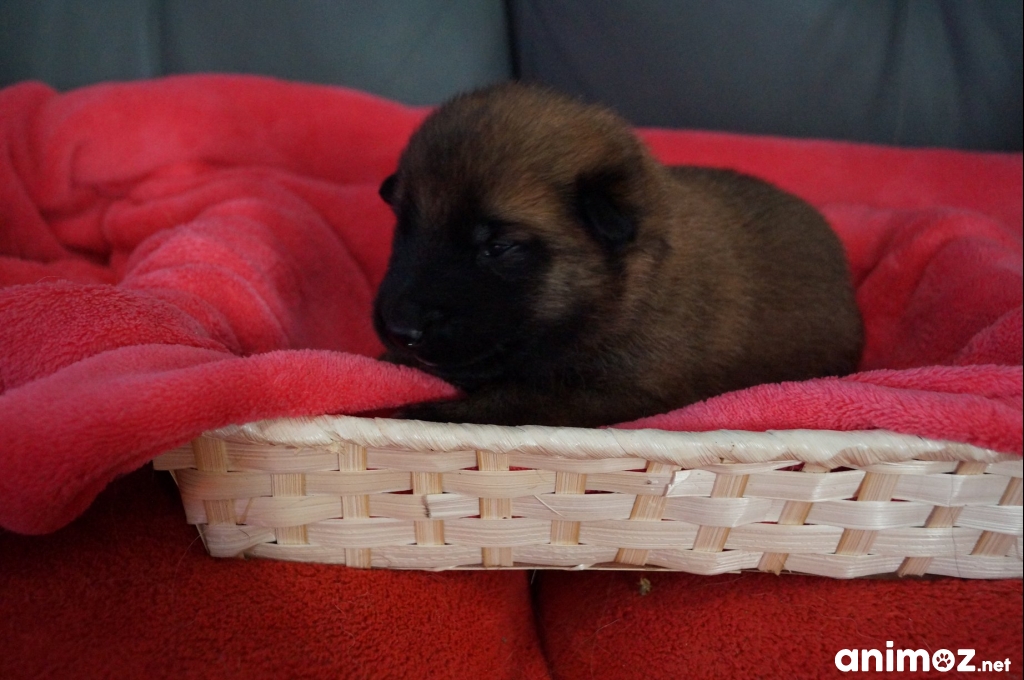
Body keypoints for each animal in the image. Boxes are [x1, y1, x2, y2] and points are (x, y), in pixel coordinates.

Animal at [373, 83, 863, 427]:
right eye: (405, 227)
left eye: (498, 247)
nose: (401, 329)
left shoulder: (615, 393)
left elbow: (510, 402)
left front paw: (419, 412)